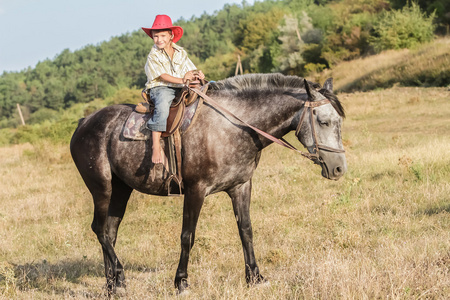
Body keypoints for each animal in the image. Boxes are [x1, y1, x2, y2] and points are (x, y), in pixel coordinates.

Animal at [68, 73, 346, 296]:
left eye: (339, 122)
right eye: (323, 121)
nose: (339, 168)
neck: (234, 126)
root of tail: (84, 122)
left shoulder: (241, 186)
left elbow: (246, 230)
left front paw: (255, 277)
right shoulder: (196, 191)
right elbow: (187, 236)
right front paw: (181, 282)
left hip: (121, 189)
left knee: (110, 232)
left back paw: (112, 285)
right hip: (101, 188)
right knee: (100, 230)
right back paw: (120, 276)